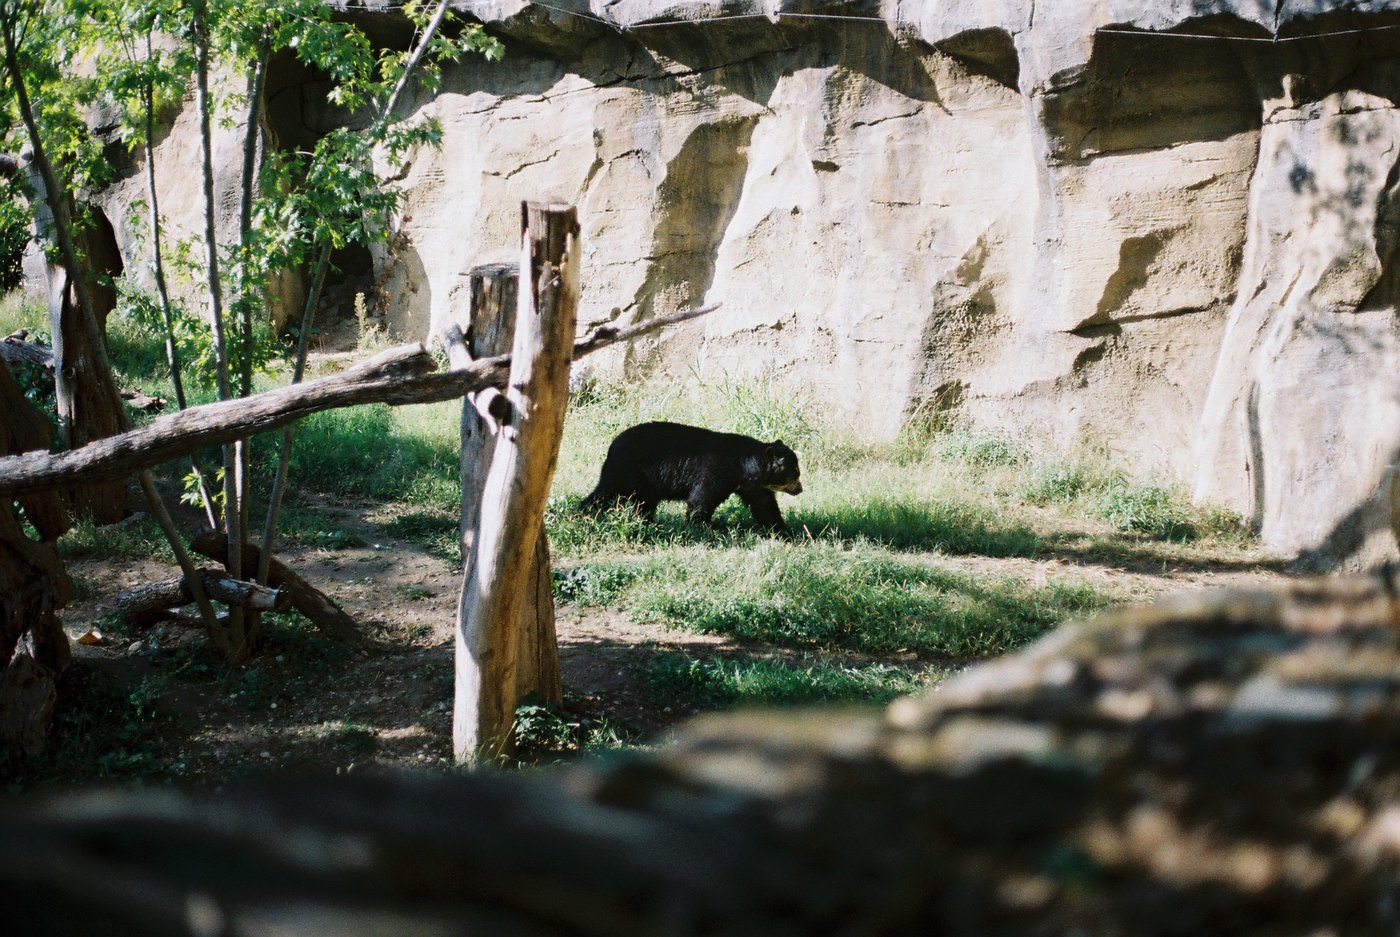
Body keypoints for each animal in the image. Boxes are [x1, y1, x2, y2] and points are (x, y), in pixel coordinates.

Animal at [579, 421, 803, 532]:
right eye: (795, 473)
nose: (800, 490)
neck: (743, 467)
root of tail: (613, 444)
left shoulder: (751, 486)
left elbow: (764, 505)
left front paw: (783, 531)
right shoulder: (716, 470)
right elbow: (702, 498)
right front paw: (701, 527)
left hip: (645, 481)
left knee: (645, 503)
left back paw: (647, 523)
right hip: (626, 469)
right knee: (607, 492)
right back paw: (584, 514)